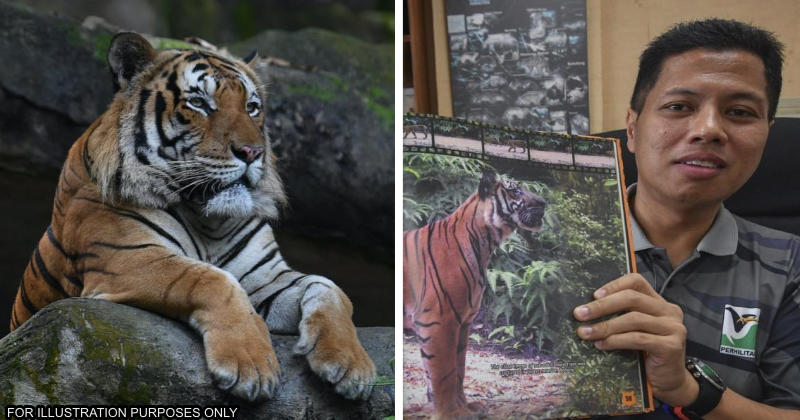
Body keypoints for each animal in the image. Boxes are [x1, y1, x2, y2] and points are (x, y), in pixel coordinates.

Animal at [10, 32, 375, 402]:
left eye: (251, 107)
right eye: (199, 103)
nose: (253, 152)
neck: (208, 219)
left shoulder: (265, 276)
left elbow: (328, 286)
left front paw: (350, 364)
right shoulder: (129, 258)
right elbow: (213, 280)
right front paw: (252, 367)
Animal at [403, 170, 547, 420]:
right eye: (516, 191)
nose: (545, 204)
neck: (485, 245)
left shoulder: (463, 321)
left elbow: (458, 367)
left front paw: (466, 407)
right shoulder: (438, 320)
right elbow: (443, 372)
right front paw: (451, 413)